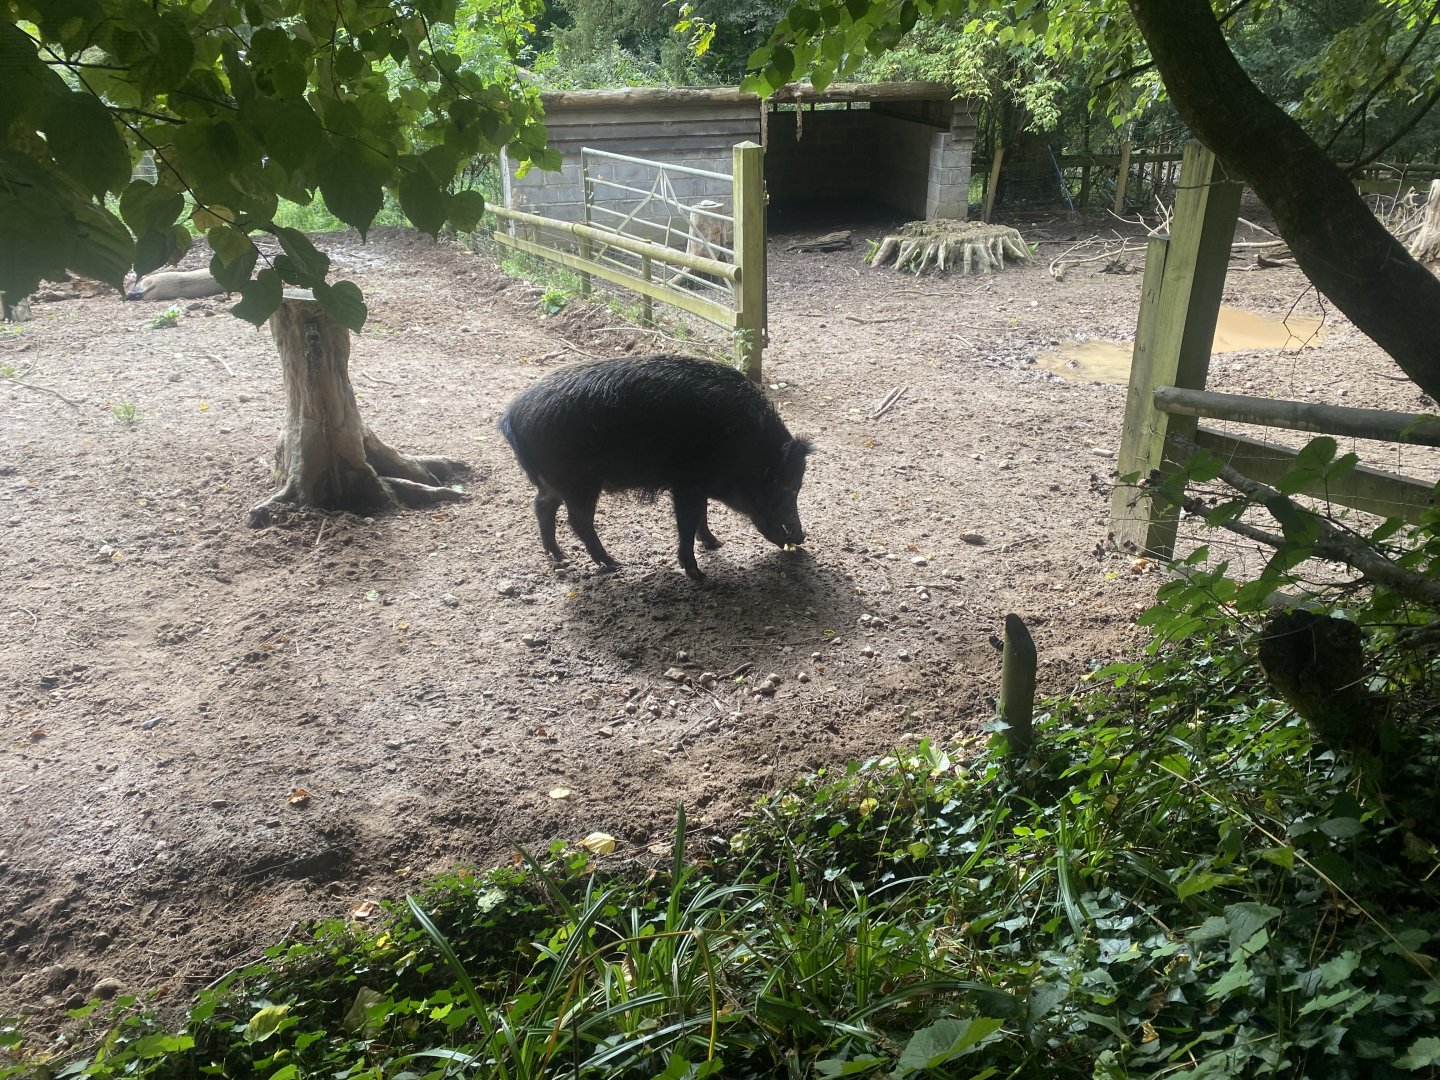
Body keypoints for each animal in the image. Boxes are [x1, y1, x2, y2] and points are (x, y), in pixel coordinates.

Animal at [498, 354, 811, 582]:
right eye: (787, 488)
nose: (801, 537)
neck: (746, 447)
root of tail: (511, 416)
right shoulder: (687, 484)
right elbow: (687, 521)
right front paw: (698, 575)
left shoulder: (697, 485)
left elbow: (701, 515)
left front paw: (715, 544)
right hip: (579, 482)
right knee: (577, 520)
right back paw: (613, 564)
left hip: (552, 482)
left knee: (542, 506)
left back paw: (560, 557)